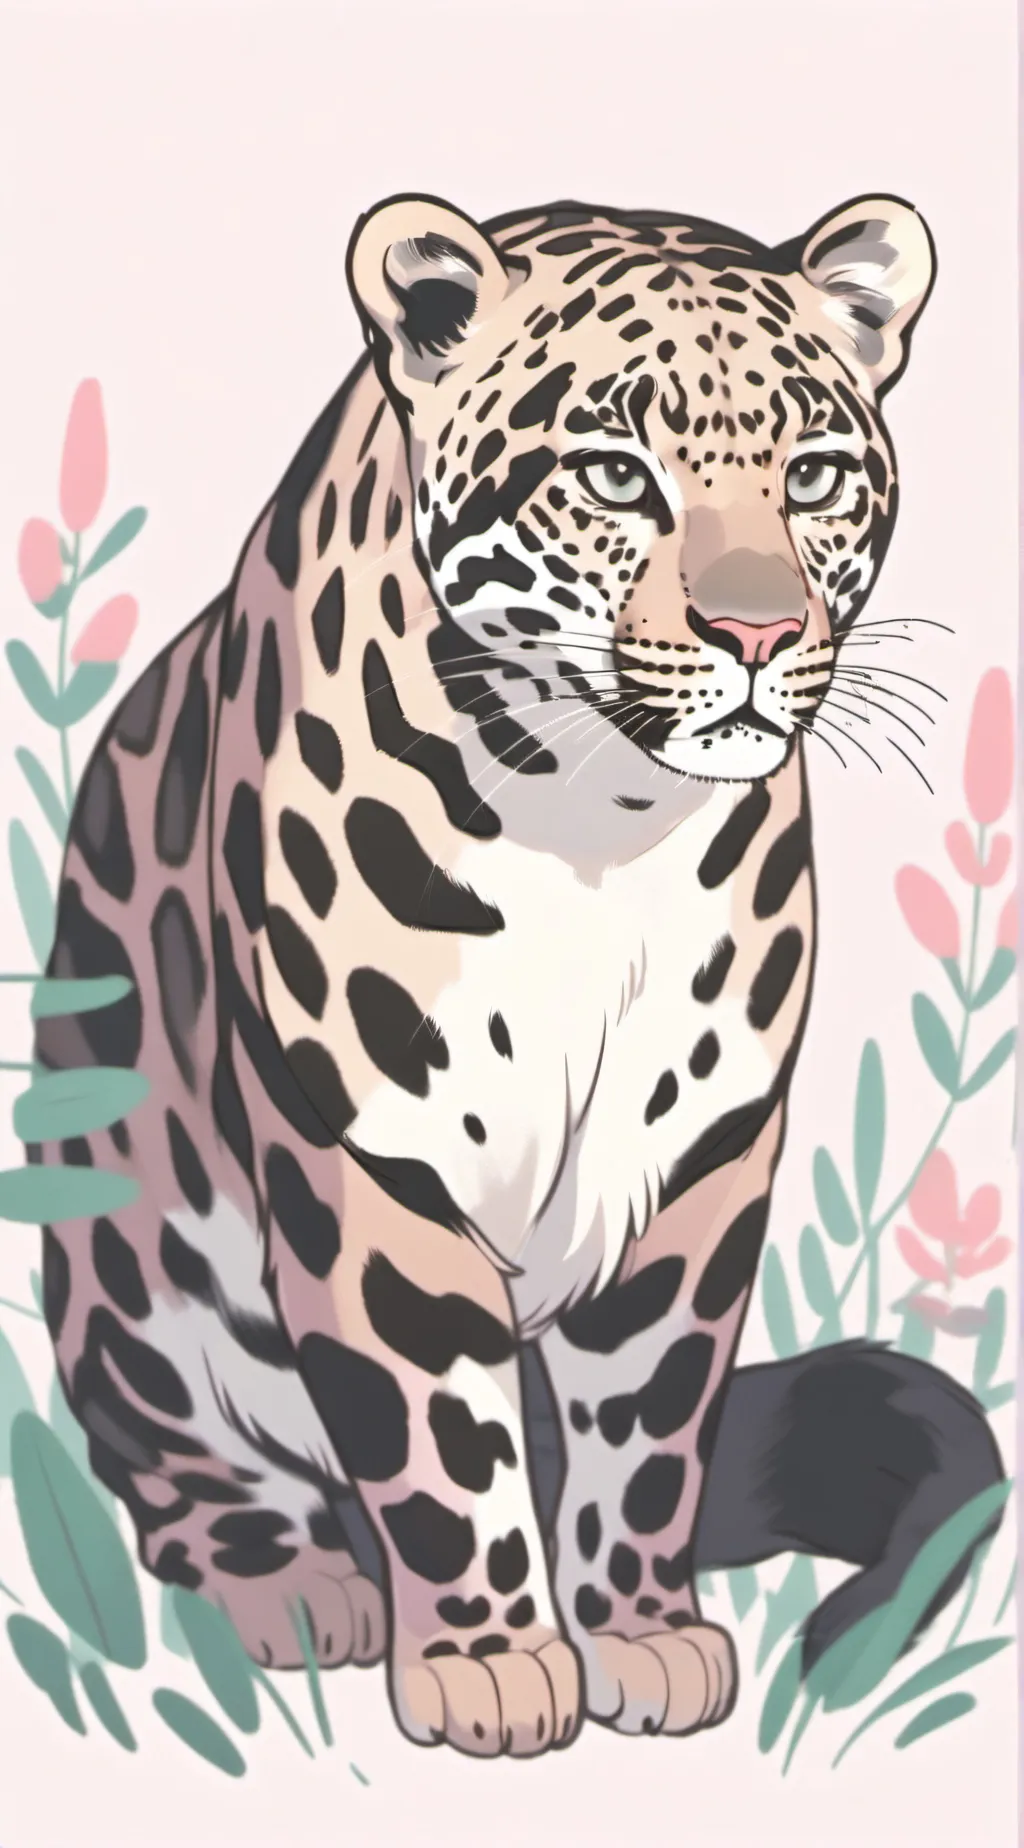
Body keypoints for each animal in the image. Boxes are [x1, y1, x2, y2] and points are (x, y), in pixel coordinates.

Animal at [29, 189, 1004, 1759]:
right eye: (613, 475)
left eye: (813, 476)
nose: (758, 638)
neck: (595, 820)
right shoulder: (371, 1154)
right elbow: (433, 1426)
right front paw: (488, 1662)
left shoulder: (698, 1160)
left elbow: (651, 1423)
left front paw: (643, 1636)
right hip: (121, 1256)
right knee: (182, 1465)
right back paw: (293, 1586)